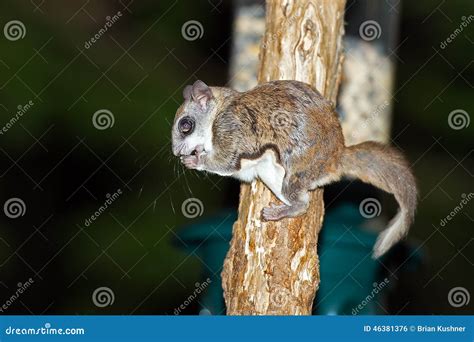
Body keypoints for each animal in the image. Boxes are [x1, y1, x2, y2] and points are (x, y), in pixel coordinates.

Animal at [172, 79, 416, 256]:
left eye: (185, 125)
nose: (176, 153)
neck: (218, 111)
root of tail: (337, 158)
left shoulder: (231, 129)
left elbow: (225, 160)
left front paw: (195, 161)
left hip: (293, 174)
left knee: (302, 205)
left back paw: (280, 211)